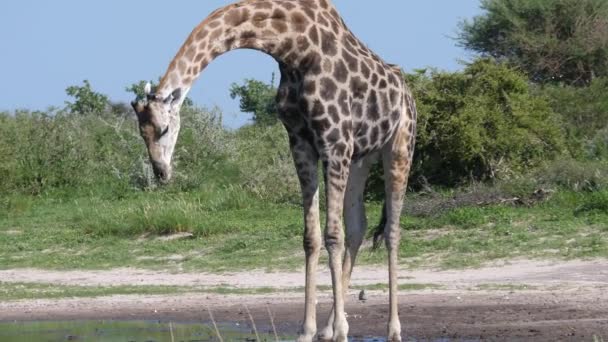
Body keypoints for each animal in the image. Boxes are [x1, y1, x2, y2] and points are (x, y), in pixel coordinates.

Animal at [131, 1, 418, 340]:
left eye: (163, 129)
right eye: (141, 133)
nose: (161, 172)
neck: (293, 48)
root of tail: (408, 93)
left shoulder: (334, 141)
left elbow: (332, 234)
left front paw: (341, 331)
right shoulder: (300, 142)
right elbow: (311, 236)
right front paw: (308, 330)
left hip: (399, 145)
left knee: (392, 230)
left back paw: (392, 329)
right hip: (362, 157)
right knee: (359, 226)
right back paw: (329, 327)